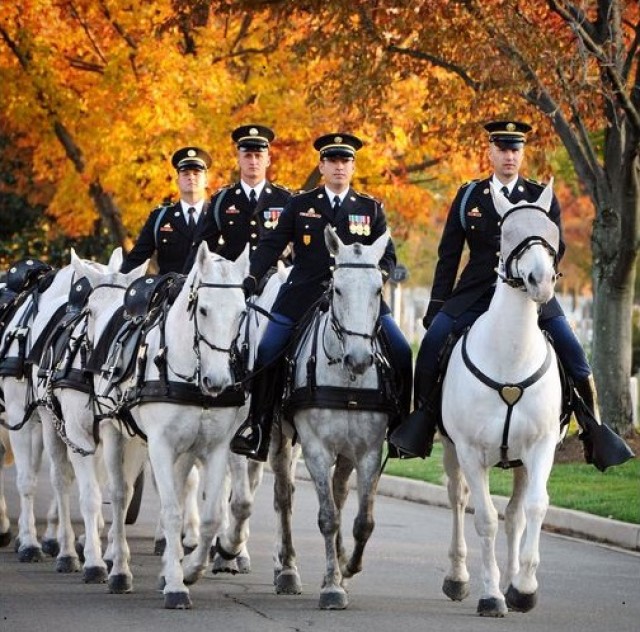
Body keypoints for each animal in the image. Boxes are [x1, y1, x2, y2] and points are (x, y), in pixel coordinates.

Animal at [270, 226, 390, 608]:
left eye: (378, 289)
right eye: (337, 289)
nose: (359, 358)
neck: (346, 380)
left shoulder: (368, 451)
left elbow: (363, 520)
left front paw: (347, 567)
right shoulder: (316, 450)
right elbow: (327, 517)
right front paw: (332, 586)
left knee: (339, 494)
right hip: (281, 438)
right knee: (284, 495)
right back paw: (287, 569)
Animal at [440, 181, 560, 616]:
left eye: (552, 231)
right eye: (506, 233)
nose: (541, 281)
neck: (510, 354)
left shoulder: (542, 446)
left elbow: (535, 507)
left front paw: (523, 587)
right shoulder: (470, 450)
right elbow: (485, 519)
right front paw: (491, 594)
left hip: (521, 461)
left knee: (517, 513)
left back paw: (513, 580)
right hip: (451, 450)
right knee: (458, 499)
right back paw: (458, 577)